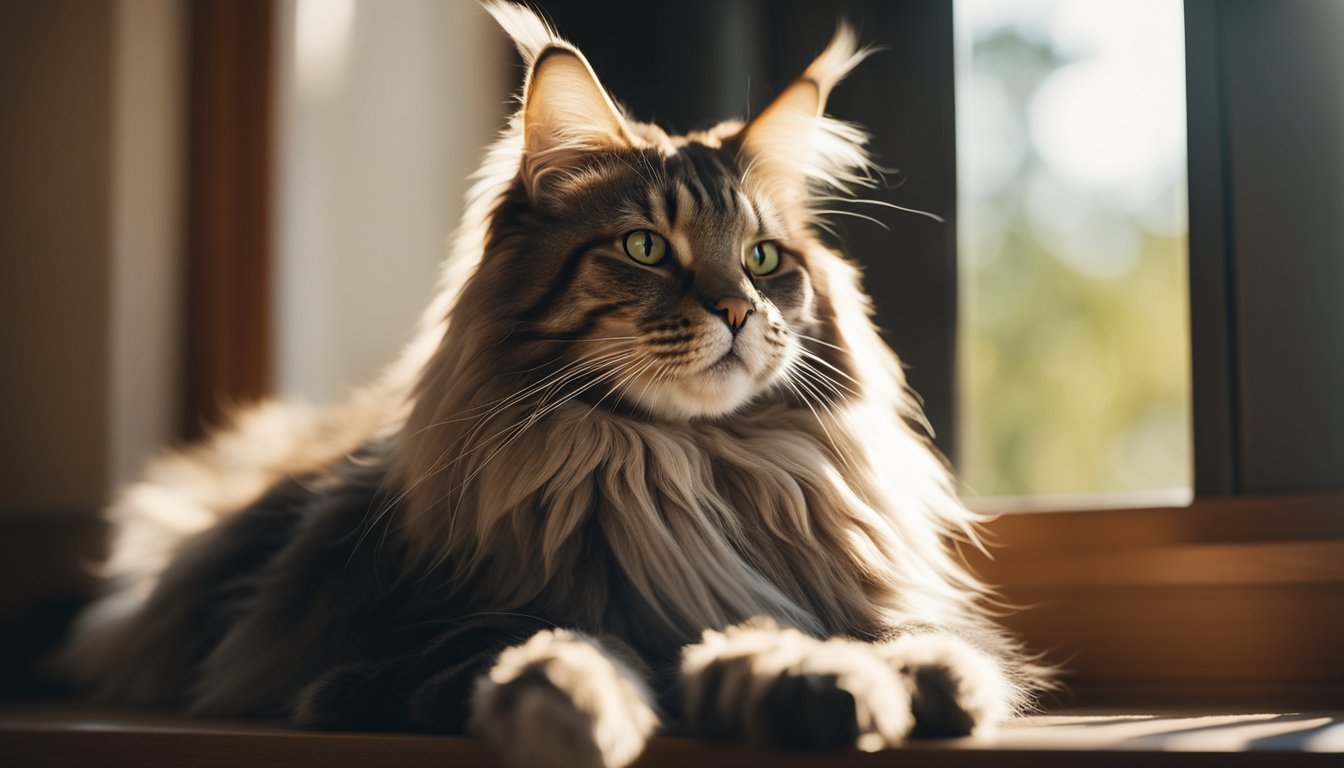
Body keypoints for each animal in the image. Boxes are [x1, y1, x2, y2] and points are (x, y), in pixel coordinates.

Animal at [60, 3, 1048, 763]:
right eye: (645, 247)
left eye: (765, 260)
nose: (737, 309)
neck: (683, 467)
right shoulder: (383, 661)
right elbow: (603, 639)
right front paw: (576, 702)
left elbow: (915, 636)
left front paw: (907, 677)